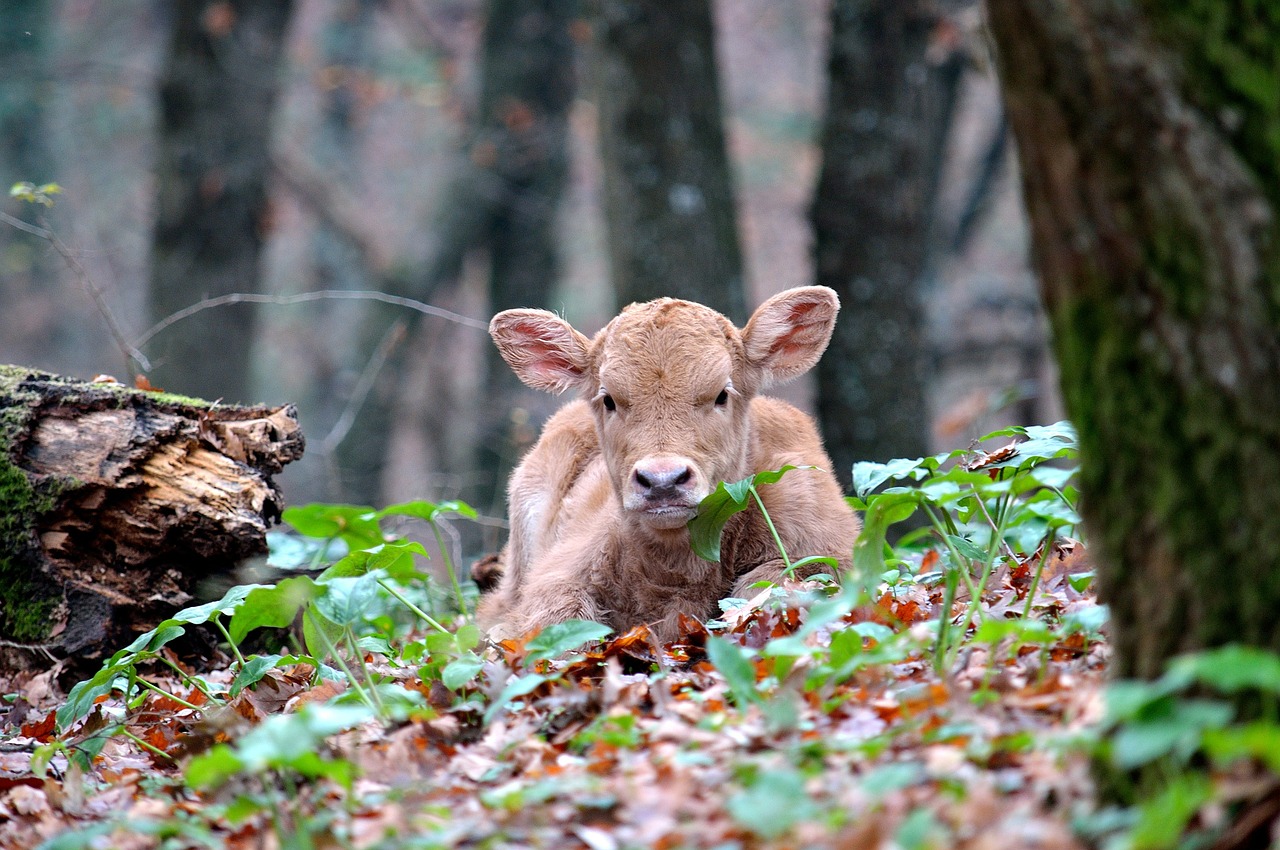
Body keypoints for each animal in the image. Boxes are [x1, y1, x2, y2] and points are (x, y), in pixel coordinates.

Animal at [478, 289, 860, 640]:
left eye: (722, 394)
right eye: (609, 399)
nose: (663, 480)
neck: (679, 570)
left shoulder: (830, 550)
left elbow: (774, 581)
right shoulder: (557, 575)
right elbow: (559, 622)